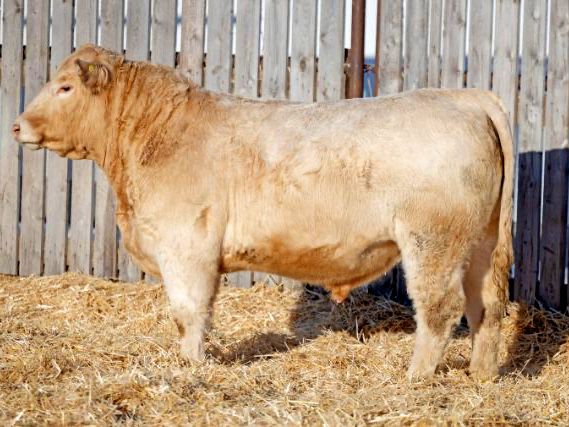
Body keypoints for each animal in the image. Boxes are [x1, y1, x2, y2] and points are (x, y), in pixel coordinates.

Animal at [13, 45, 514, 380]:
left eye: (64, 87)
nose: (17, 125)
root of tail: (466, 96)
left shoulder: (186, 248)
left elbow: (188, 312)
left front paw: (189, 367)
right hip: (480, 244)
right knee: (486, 306)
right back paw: (480, 376)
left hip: (433, 241)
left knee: (440, 309)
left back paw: (415, 378)